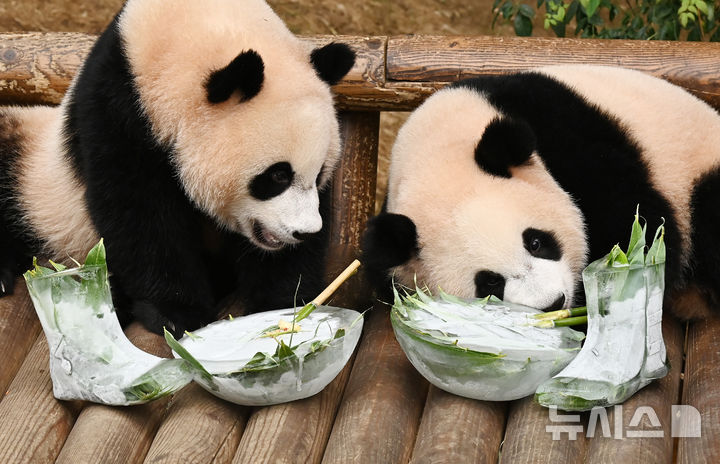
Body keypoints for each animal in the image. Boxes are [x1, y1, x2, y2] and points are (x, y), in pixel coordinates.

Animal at [0, 0, 358, 336]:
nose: (304, 232)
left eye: (319, 173)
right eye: (277, 176)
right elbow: (139, 212)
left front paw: (288, 304)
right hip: (34, 175)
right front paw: (177, 312)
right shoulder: (119, 112)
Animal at [362, 65, 720, 320]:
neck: (439, 150)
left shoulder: (572, 142)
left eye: (535, 241)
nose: (553, 302)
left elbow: (640, 225)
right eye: (489, 283)